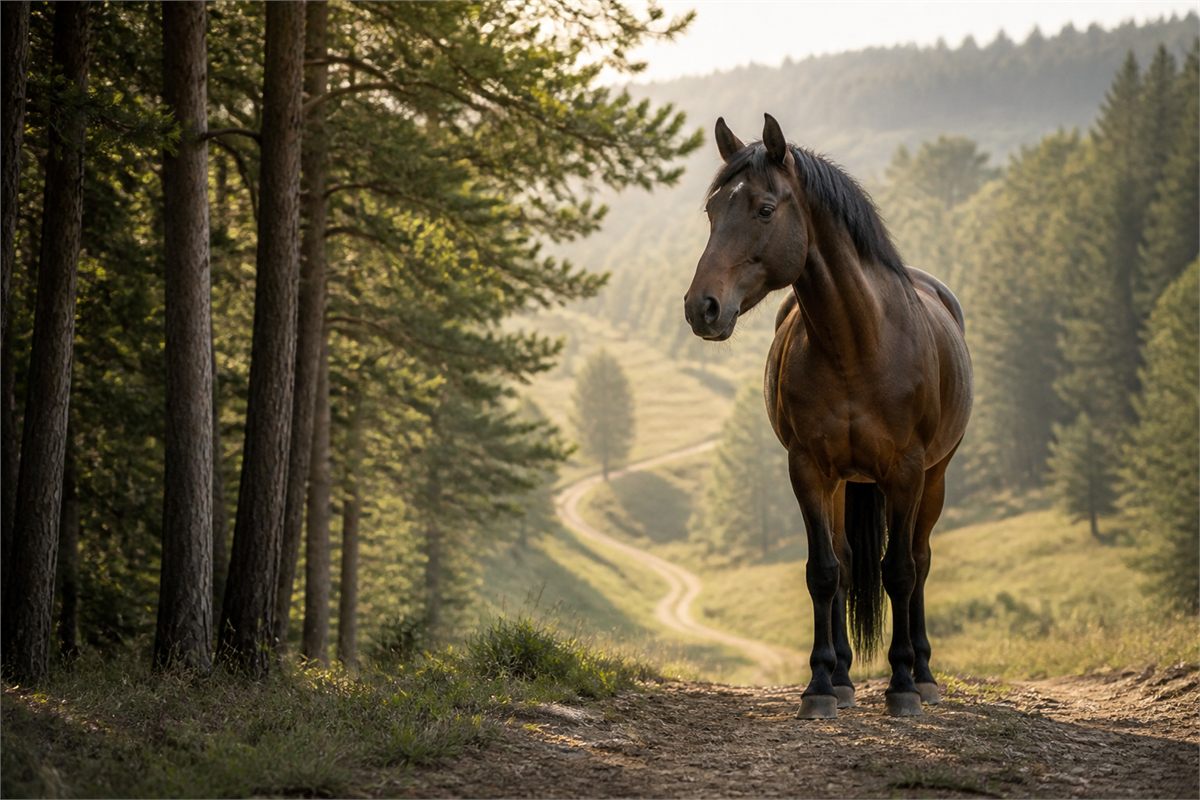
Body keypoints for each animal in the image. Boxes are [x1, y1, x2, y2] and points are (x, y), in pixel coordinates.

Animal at [683, 115, 972, 718]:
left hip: (934, 477)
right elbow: (824, 572)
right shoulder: (809, 469)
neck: (858, 344)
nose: (703, 308)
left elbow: (899, 571)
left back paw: (923, 674)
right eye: (713, 211)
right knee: (843, 561)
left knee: (920, 559)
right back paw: (842, 678)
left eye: (765, 209)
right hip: (843, 481)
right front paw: (820, 685)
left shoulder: (907, 472)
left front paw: (902, 686)